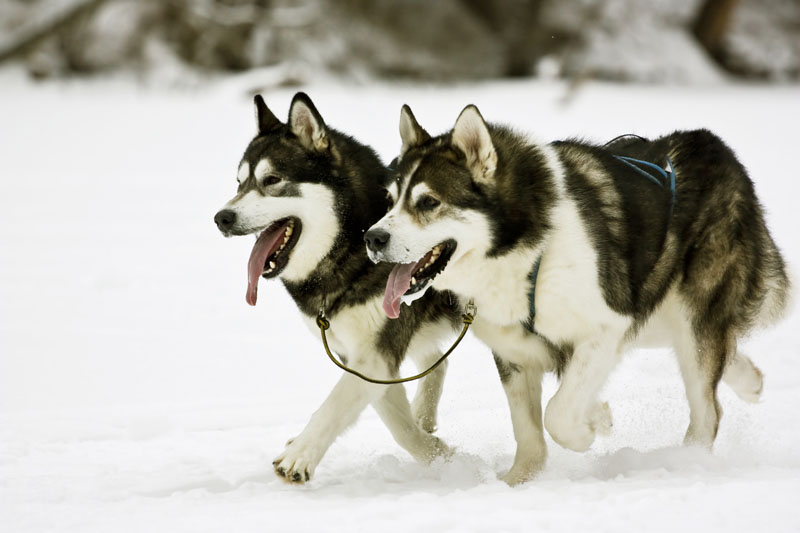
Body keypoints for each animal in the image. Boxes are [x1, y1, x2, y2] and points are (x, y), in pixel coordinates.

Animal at [214, 93, 462, 484]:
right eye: (239, 183)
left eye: (272, 179)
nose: (221, 218)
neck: (352, 244)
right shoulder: (362, 357)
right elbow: (398, 423)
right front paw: (437, 454)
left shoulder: (375, 354)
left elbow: (336, 405)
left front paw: (299, 456)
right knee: (434, 362)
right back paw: (425, 414)